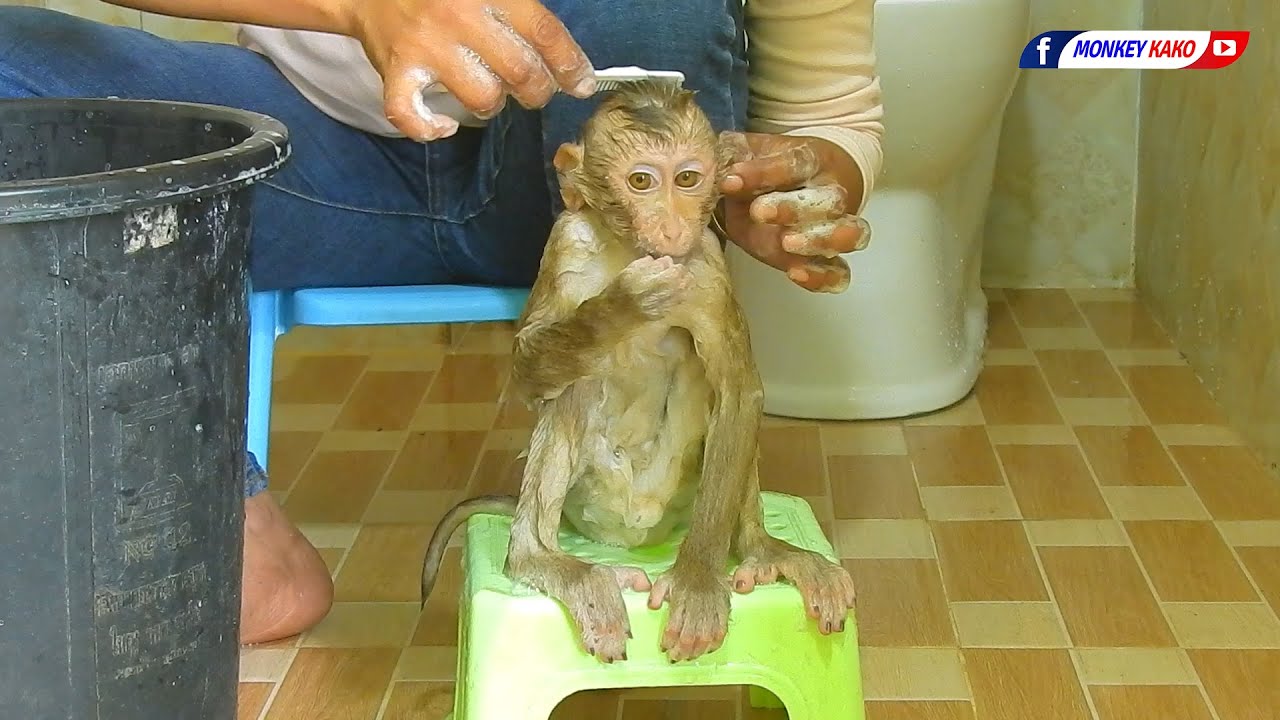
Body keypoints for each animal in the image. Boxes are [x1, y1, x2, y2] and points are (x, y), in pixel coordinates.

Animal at [419, 80, 857, 664]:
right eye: (642, 181)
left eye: (688, 178)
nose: (672, 226)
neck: (629, 246)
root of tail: (634, 529)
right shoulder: (567, 244)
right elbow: (530, 374)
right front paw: (622, 307)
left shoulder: (706, 267)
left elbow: (739, 391)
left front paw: (698, 580)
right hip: (589, 499)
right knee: (572, 391)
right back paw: (545, 561)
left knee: (721, 400)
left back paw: (764, 550)